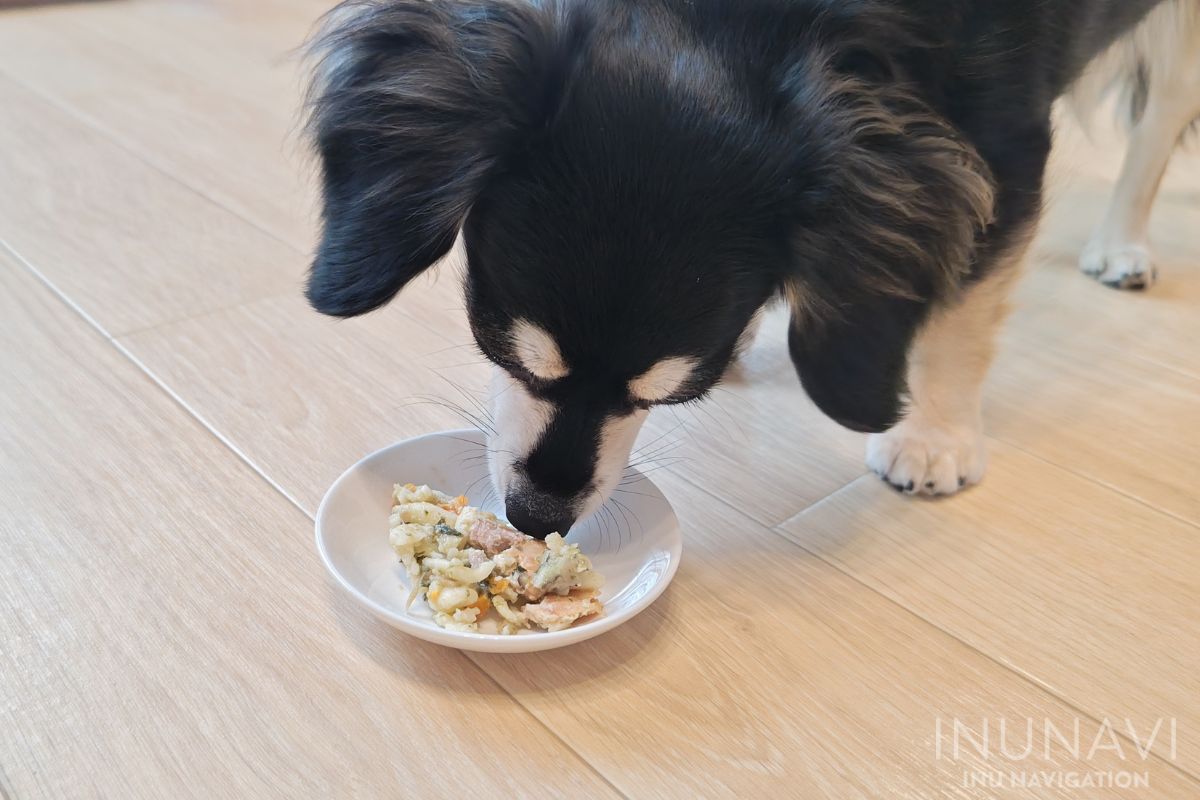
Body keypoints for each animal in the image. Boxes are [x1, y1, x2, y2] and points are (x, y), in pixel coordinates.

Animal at [302, 1, 1200, 537]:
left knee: (1159, 122)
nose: (537, 518)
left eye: (665, 395)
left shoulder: (1005, 147)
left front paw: (934, 436)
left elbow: (961, 316)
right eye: (505, 351)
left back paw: (1123, 241)